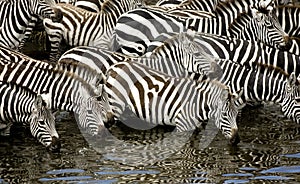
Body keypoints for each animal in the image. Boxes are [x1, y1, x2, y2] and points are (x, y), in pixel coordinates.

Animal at [103, 61, 244, 144]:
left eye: (236, 115)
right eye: (225, 115)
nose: (237, 140)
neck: (198, 103)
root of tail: (113, 67)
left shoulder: (196, 128)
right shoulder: (182, 127)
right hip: (116, 106)